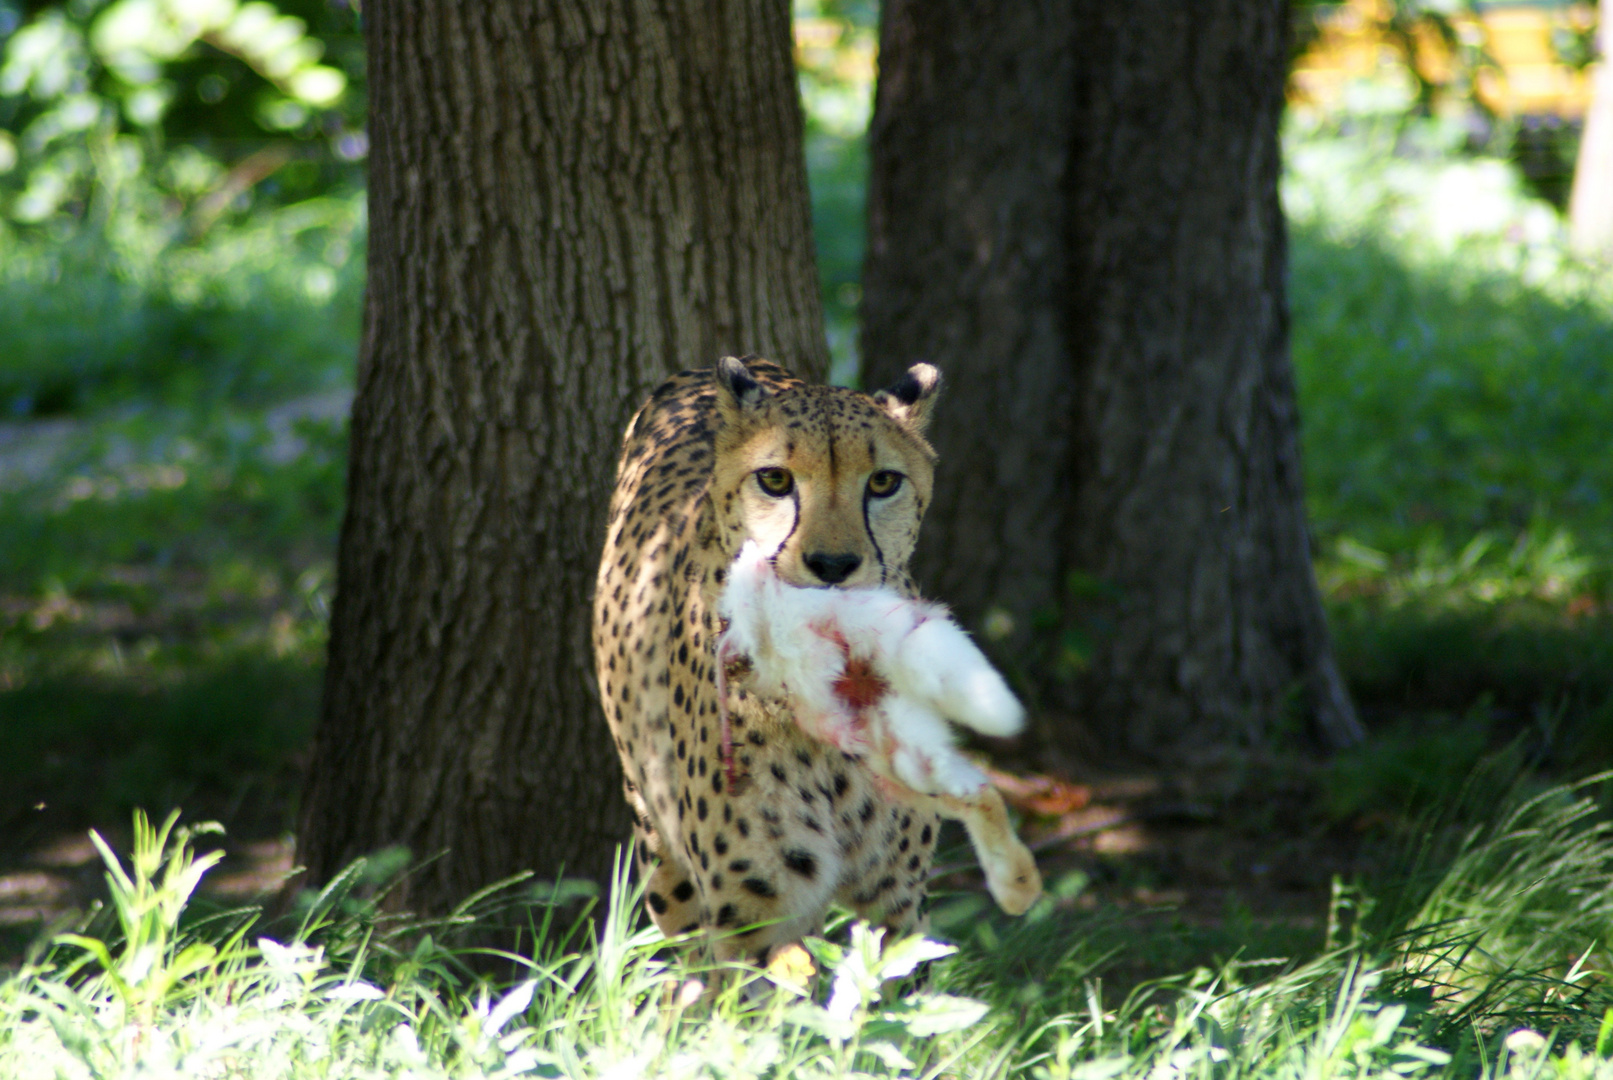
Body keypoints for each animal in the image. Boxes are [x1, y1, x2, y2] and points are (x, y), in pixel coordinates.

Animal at [600, 357, 1038, 967]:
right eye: (775, 480)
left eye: (883, 482)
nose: (833, 564)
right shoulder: (750, 919)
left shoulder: (897, 899)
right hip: (660, 848)